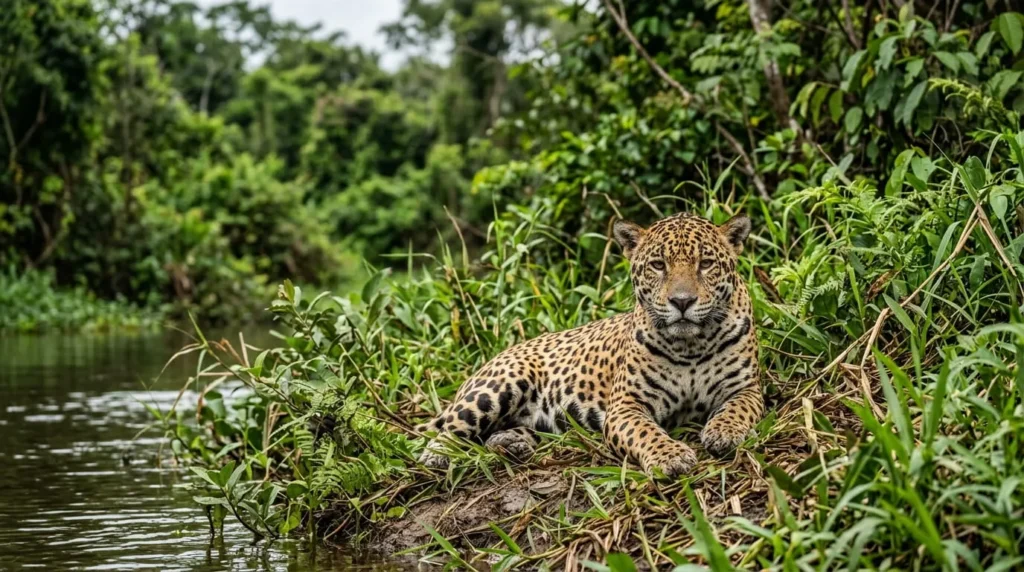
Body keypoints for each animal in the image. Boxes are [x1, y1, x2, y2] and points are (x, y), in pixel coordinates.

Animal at [417, 212, 762, 477]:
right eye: (658, 265)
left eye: (706, 263)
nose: (682, 301)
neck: (691, 346)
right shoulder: (625, 405)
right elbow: (647, 432)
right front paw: (671, 456)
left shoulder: (747, 388)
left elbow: (738, 409)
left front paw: (724, 431)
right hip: (500, 385)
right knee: (448, 431)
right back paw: (439, 455)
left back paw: (512, 444)